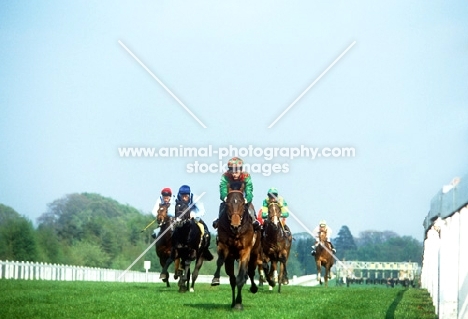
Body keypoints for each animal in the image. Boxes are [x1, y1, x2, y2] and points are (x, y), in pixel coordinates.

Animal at [211, 184, 260, 312]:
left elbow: (241, 277)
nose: (235, 225)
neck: (236, 233)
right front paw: (215, 279)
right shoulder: (224, 246)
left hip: (254, 254)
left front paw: (239, 304)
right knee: (232, 279)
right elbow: (220, 261)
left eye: (243, 203)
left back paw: (253, 288)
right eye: (227, 203)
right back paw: (233, 303)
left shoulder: (245, 251)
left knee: (251, 272)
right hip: (231, 259)